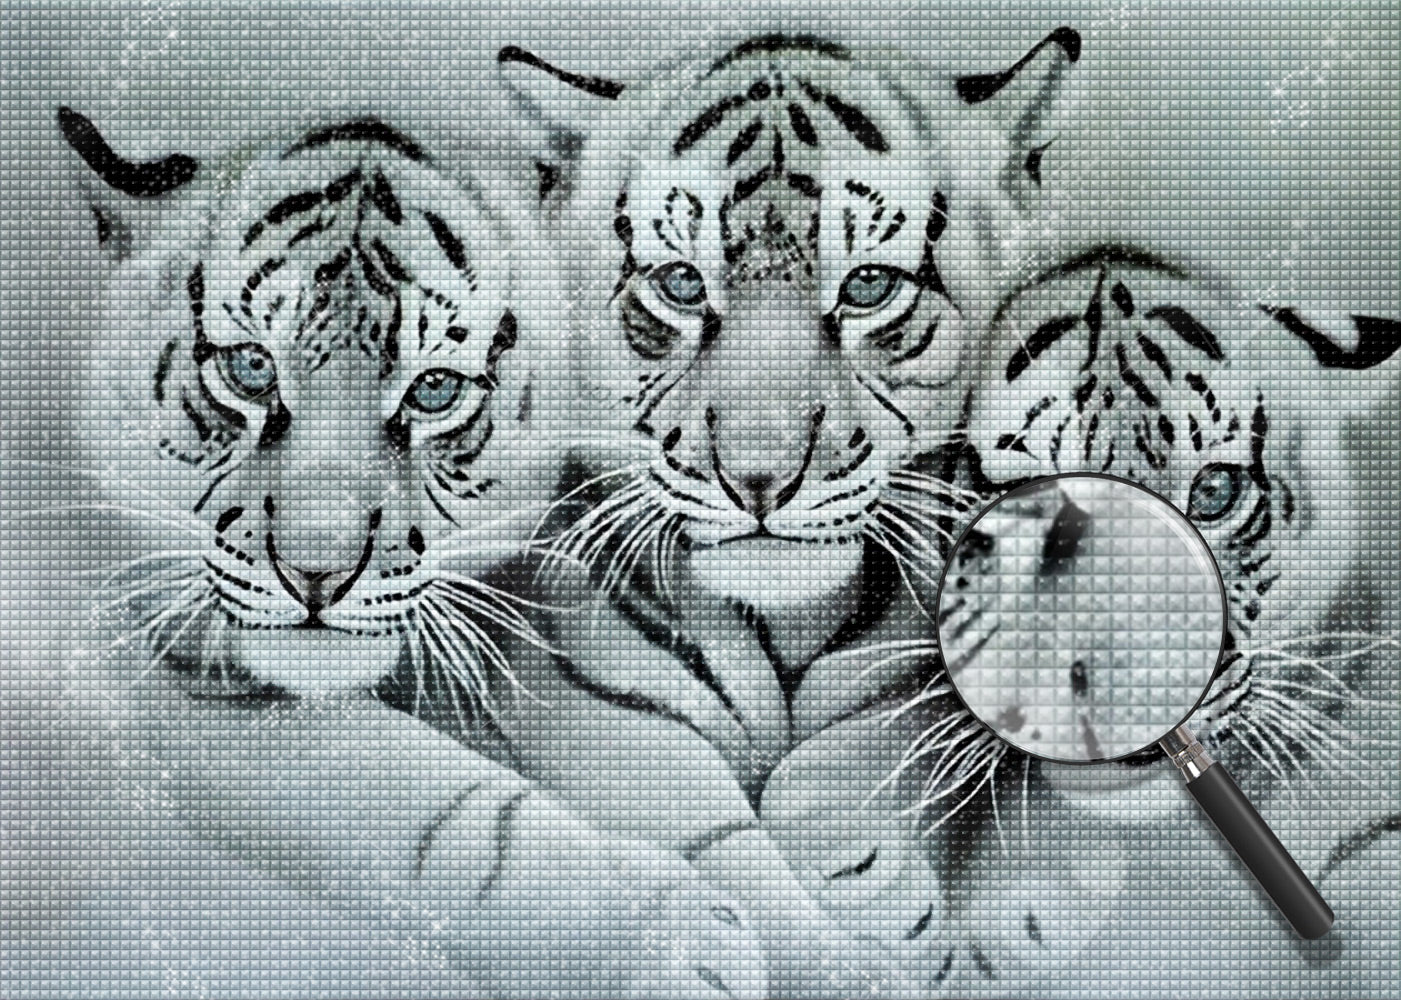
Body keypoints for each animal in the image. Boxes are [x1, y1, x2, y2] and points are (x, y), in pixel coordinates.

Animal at [58, 108, 765, 998]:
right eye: (251, 368)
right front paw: (684, 939)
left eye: (434, 389)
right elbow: (458, 818)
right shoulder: (191, 687)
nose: (316, 569)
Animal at [484, 28, 1083, 996]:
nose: (759, 478)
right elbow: (735, 866)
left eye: (869, 286)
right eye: (680, 285)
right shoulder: (605, 724)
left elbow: (867, 752)